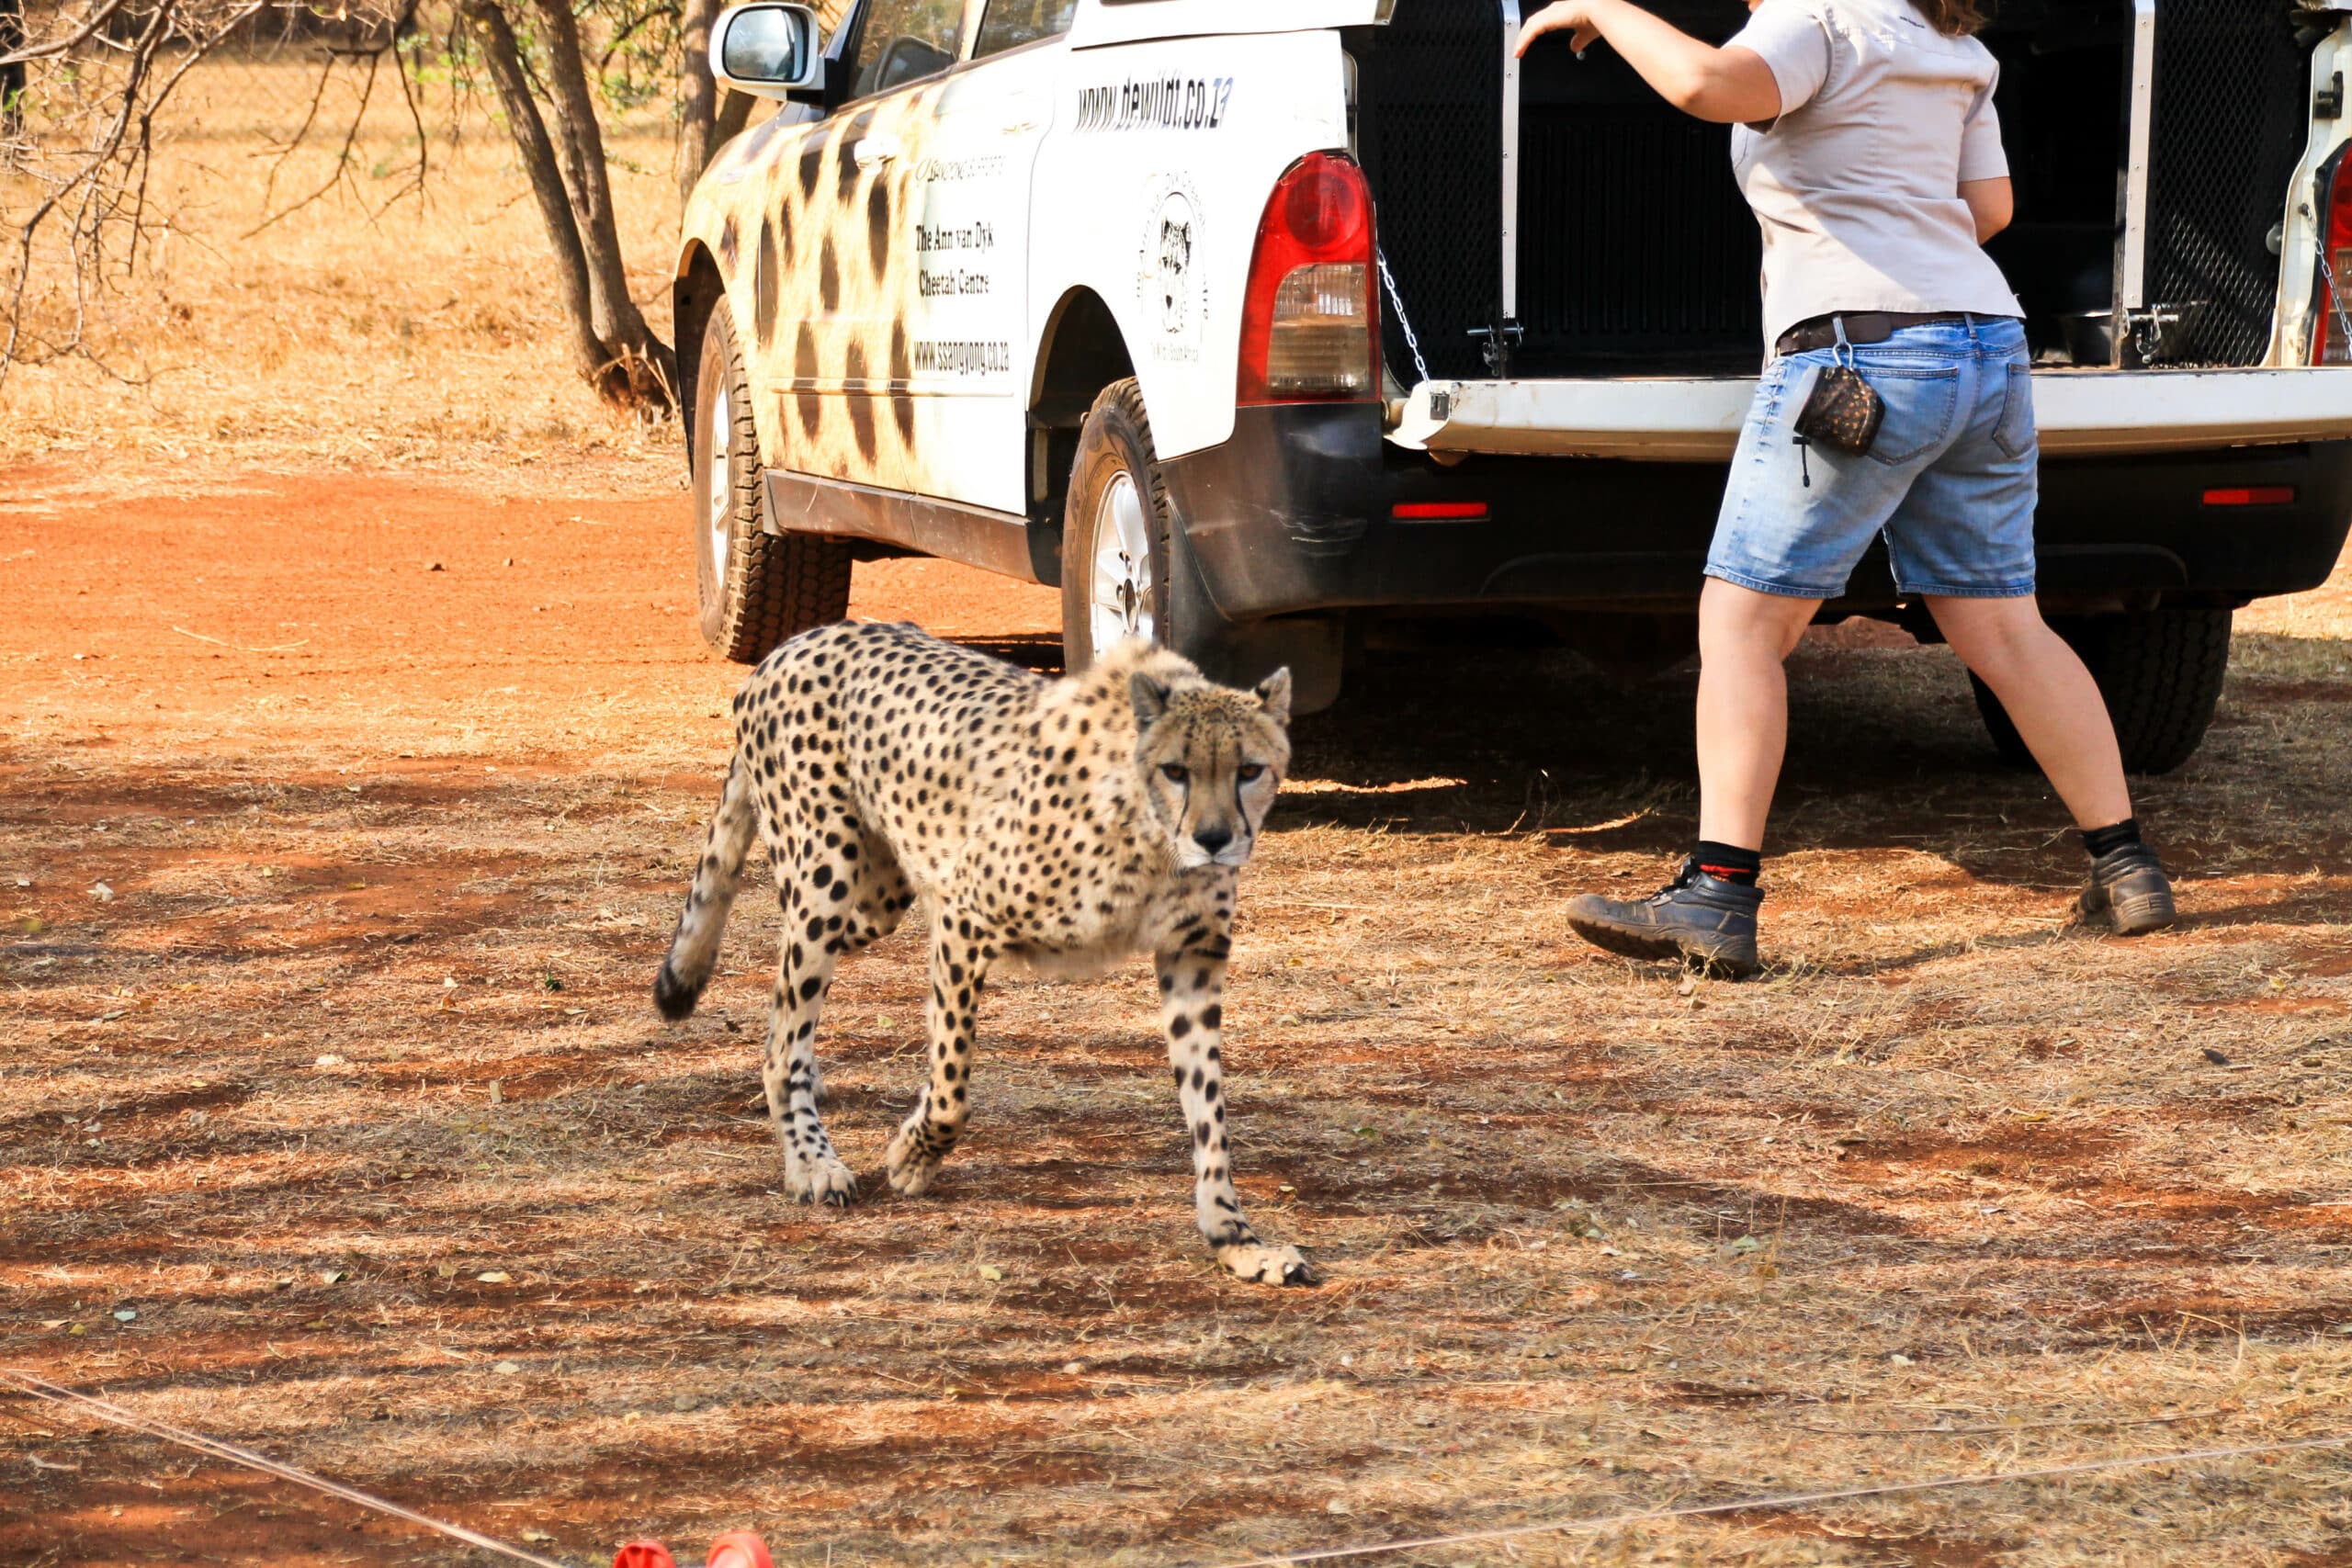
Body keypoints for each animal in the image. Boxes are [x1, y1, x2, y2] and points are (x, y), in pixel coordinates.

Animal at [651, 619, 1314, 1286]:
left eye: (1250, 769)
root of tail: (797, 642)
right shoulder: (962, 914)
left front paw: (1235, 1237)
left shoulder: (1193, 955)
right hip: (827, 882)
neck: (1149, 834)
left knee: (789, 1009)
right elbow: (951, 1086)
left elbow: (1209, 1110)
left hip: (876, 898)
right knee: (783, 1035)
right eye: (1176, 770)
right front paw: (911, 1157)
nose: (1214, 839)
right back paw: (811, 1161)